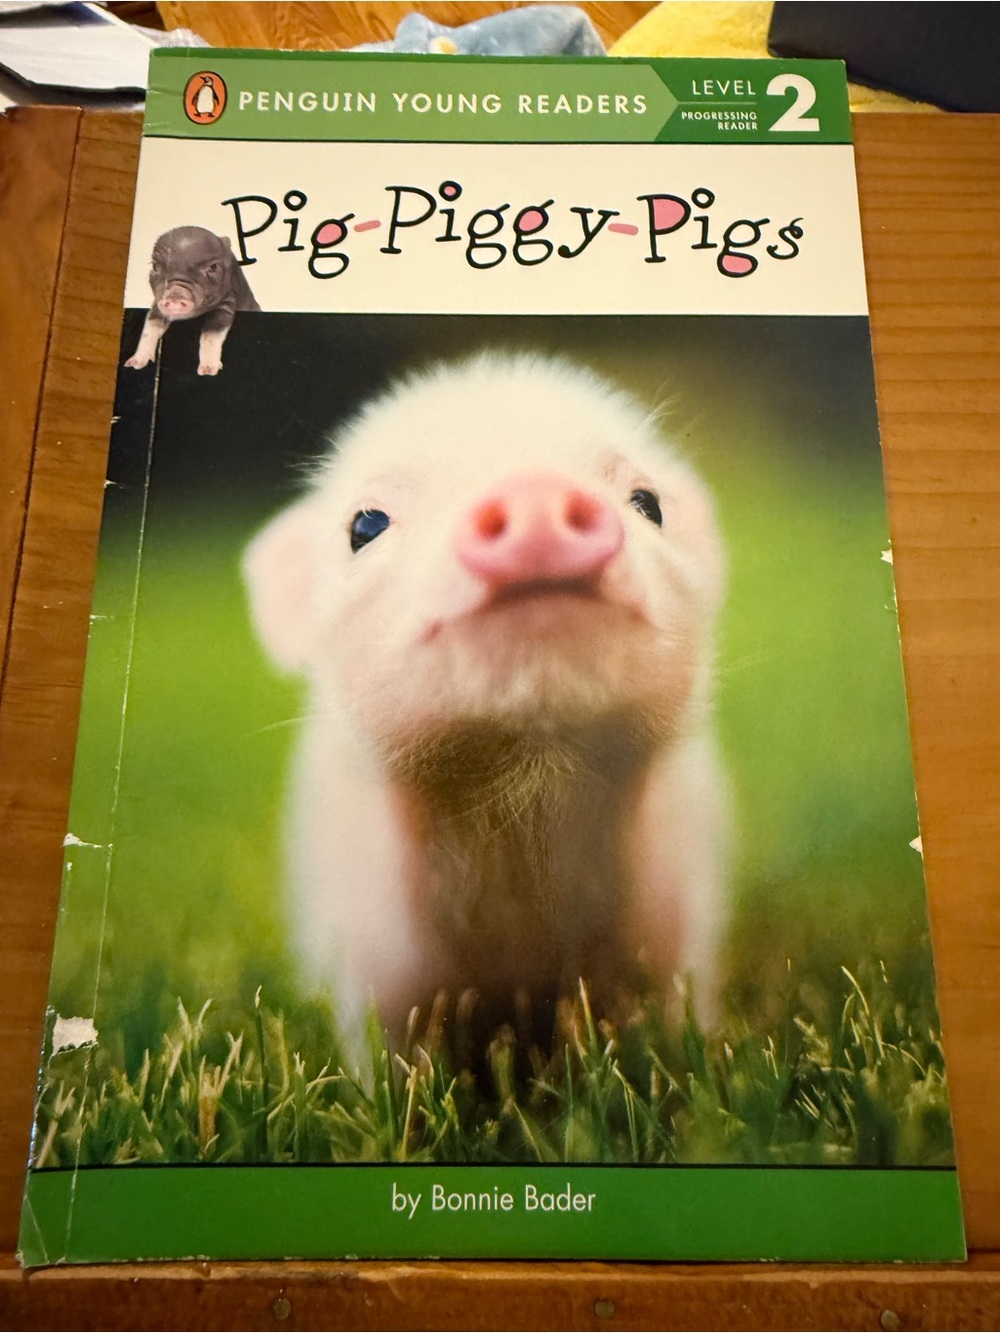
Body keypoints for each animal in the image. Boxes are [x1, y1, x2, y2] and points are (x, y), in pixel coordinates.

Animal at [125, 226, 260, 376]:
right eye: (154, 266)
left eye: (213, 267)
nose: (175, 296)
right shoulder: (158, 305)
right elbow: (150, 328)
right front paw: (132, 364)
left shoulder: (227, 303)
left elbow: (211, 333)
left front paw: (207, 371)